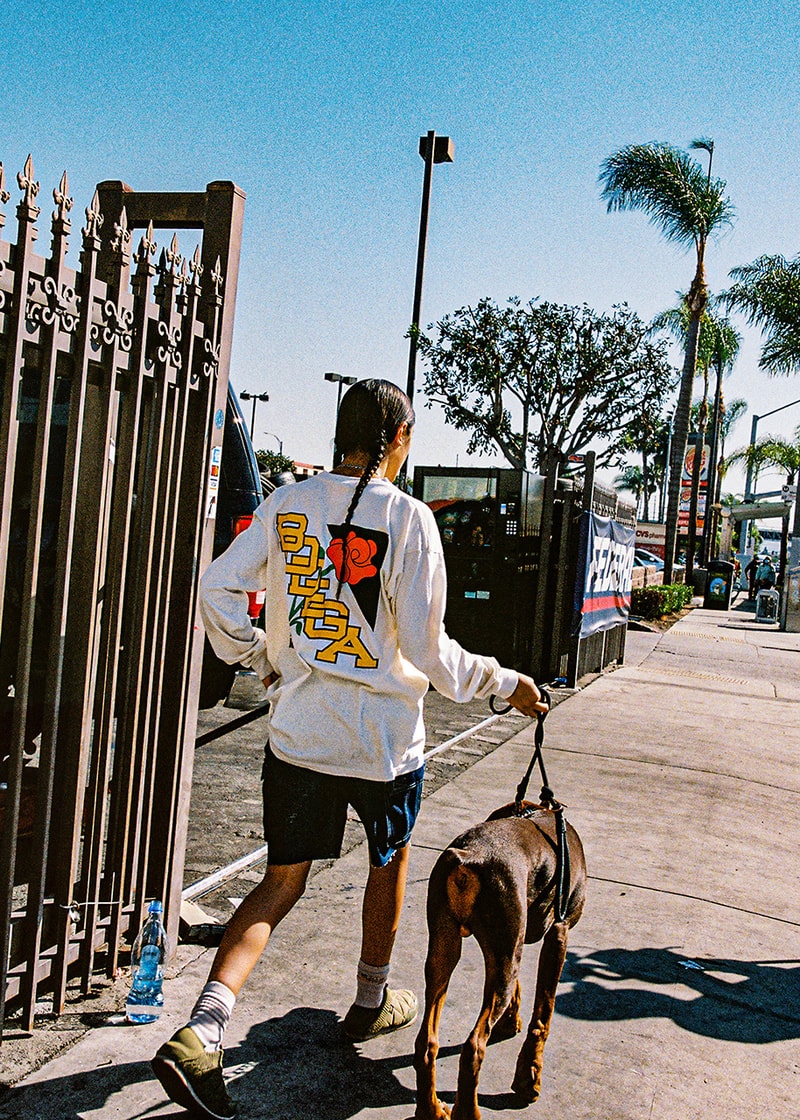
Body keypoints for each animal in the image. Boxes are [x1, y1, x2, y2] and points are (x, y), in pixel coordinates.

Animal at [414, 801, 582, 1115]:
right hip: (502, 946)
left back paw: (431, 1111)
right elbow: (544, 1012)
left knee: (427, 1043)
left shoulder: (514, 943)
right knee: (473, 1047)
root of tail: (468, 857)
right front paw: (529, 1078)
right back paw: (468, 1112)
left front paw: (510, 1021)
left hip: (446, 948)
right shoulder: (559, 932)